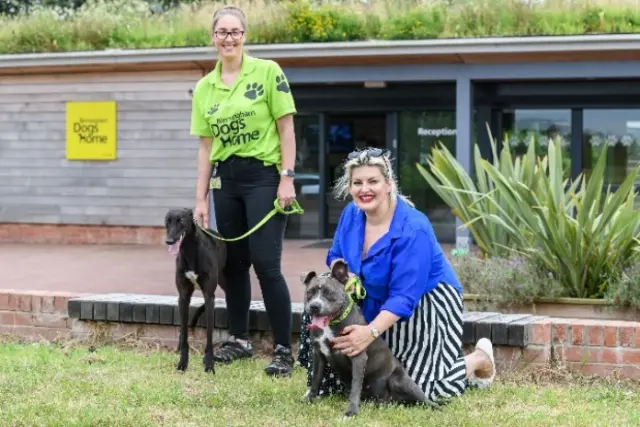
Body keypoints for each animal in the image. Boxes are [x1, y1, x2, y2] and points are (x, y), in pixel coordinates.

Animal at [164, 209, 226, 372]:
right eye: (167, 221)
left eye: (181, 221)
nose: (169, 241)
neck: (190, 250)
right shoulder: (183, 296)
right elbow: (184, 333)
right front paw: (182, 363)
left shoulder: (209, 295)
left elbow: (209, 337)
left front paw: (209, 365)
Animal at [302, 260, 438, 418]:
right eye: (310, 292)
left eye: (329, 293)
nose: (314, 306)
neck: (331, 324)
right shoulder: (318, 354)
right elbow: (316, 379)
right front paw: (310, 398)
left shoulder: (357, 356)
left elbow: (356, 385)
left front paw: (352, 411)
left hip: (400, 380)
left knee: (426, 400)